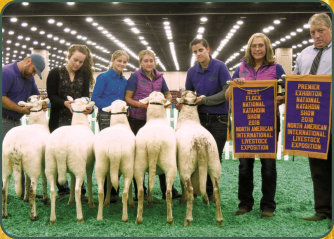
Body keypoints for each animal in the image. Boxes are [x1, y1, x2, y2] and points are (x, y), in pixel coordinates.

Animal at [44, 95, 95, 224]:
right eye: (83, 101)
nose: (87, 97)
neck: (80, 123)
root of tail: (60, 147)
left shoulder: (72, 171)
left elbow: (71, 182)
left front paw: (70, 202)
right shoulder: (90, 164)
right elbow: (89, 182)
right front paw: (91, 203)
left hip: (51, 166)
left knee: (52, 190)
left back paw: (52, 219)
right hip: (79, 166)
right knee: (77, 189)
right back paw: (80, 217)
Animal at [134, 91, 177, 224]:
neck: (156, 119)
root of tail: (154, 143)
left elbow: (149, 181)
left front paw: (150, 200)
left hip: (139, 165)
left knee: (141, 191)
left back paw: (139, 218)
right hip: (170, 166)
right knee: (168, 192)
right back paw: (170, 219)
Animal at [176, 90, 223, 226]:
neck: (189, 119)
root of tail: (201, 143)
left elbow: (182, 185)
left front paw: (182, 200)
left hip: (186, 166)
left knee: (190, 189)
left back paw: (188, 218)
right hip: (214, 164)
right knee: (217, 190)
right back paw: (219, 219)